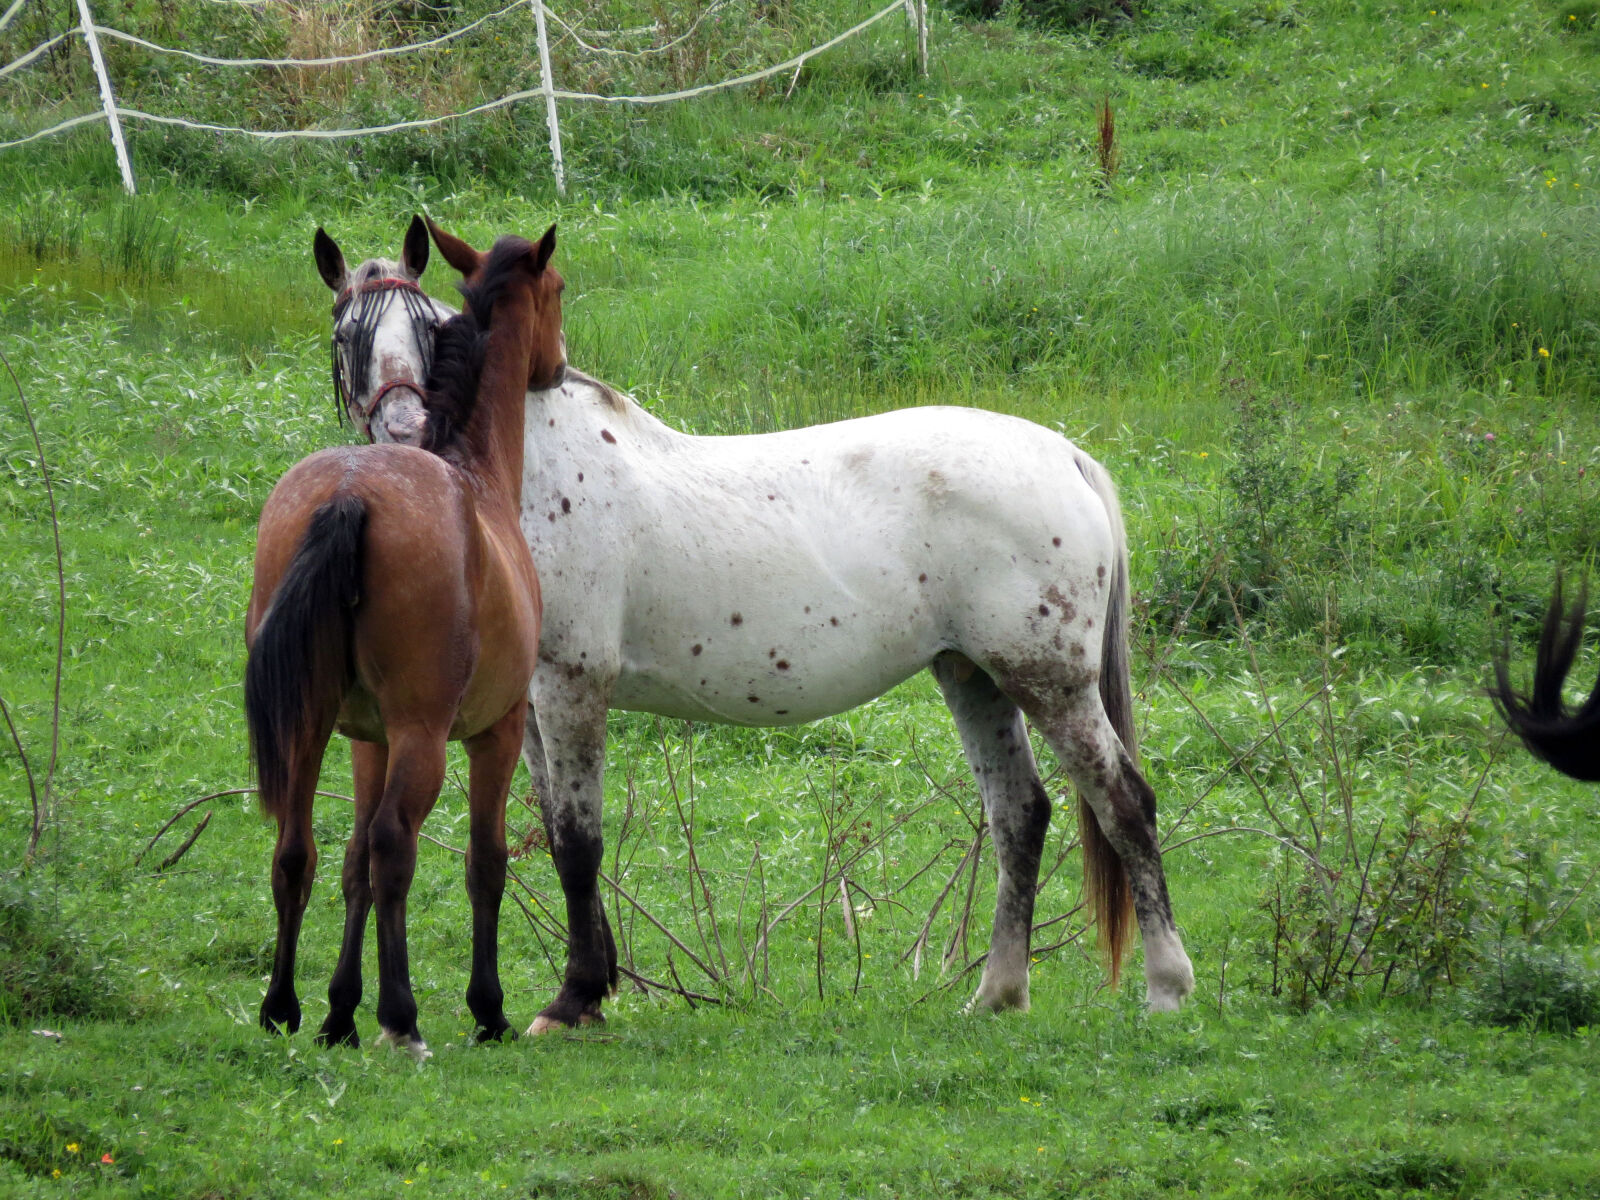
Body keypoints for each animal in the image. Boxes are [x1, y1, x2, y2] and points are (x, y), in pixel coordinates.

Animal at [243, 227, 569, 1062]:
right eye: (557, 290)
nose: (557, 365)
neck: (473, 466)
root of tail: (350, 492)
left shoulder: (367, 739)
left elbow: (351, 862)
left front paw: (339, 1009)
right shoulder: (497, 732)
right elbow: (484, 864)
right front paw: (484, 1008)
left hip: (311, 726)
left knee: (297, 851)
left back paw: (285, 1006)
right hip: (424, 735)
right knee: (396, 844)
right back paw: (403, 1015)